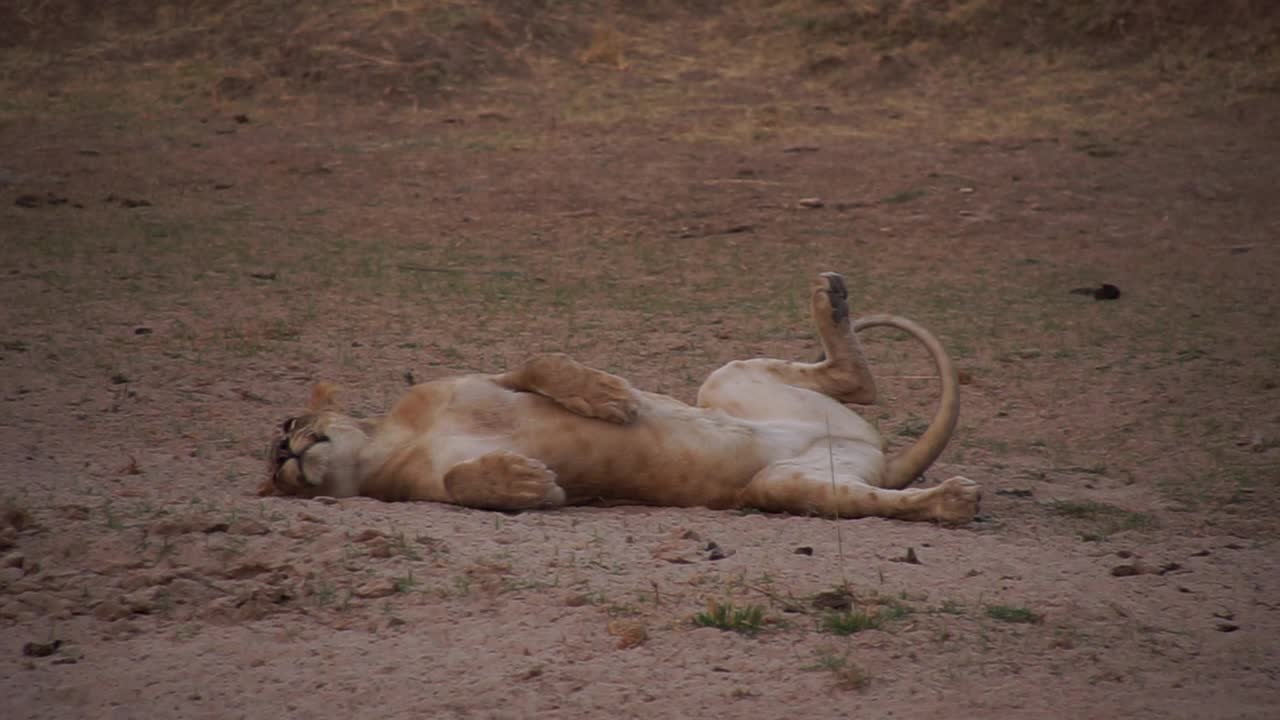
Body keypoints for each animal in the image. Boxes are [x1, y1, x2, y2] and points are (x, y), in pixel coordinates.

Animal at [259, 271, 977, 525]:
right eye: (272, 477)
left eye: (288, 418)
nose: (281, 449)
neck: (390, 439)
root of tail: (872, 452)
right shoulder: (426, 488)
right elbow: (464, 481)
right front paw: (528, 482)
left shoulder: (480, 378)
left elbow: (539, 362)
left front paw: (608, 396)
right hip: (785, 485)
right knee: (873, 490)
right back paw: (951, 500)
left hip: (724, 380)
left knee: (861, 380)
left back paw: (832, 298)